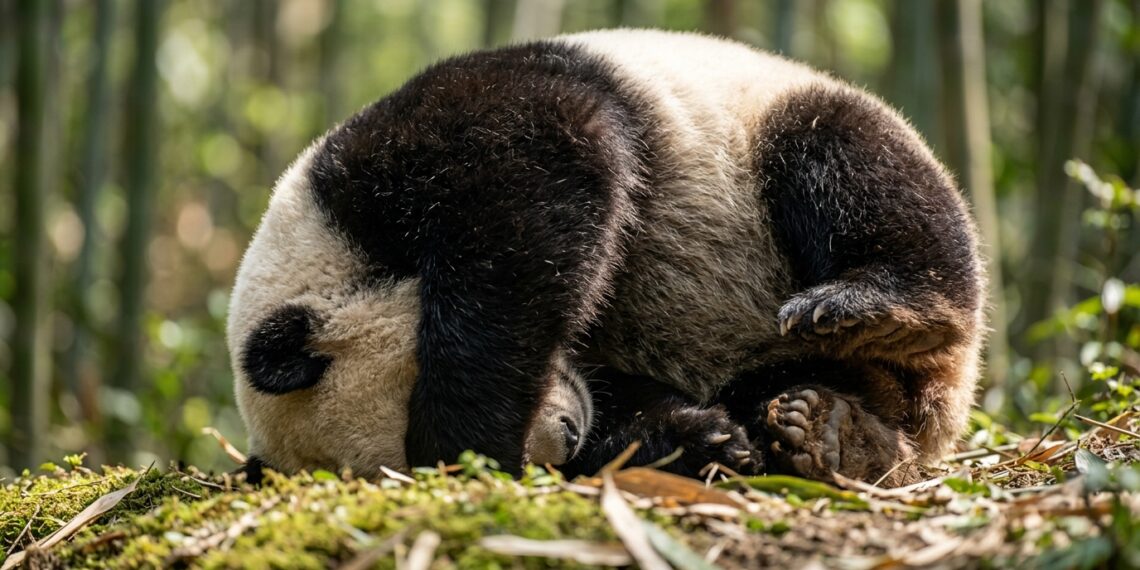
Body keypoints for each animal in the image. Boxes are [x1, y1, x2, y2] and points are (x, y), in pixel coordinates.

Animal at [227, 29, 985, 486]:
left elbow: (530, 203)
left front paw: (471, 442)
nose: (563, 437)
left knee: (848, 165)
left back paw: (884, 309)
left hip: (762, 133)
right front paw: (706, 441)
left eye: (406, 409)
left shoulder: (414, 155)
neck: (321, 238)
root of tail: (945, 407)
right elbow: (629, 402)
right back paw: (834, 434)